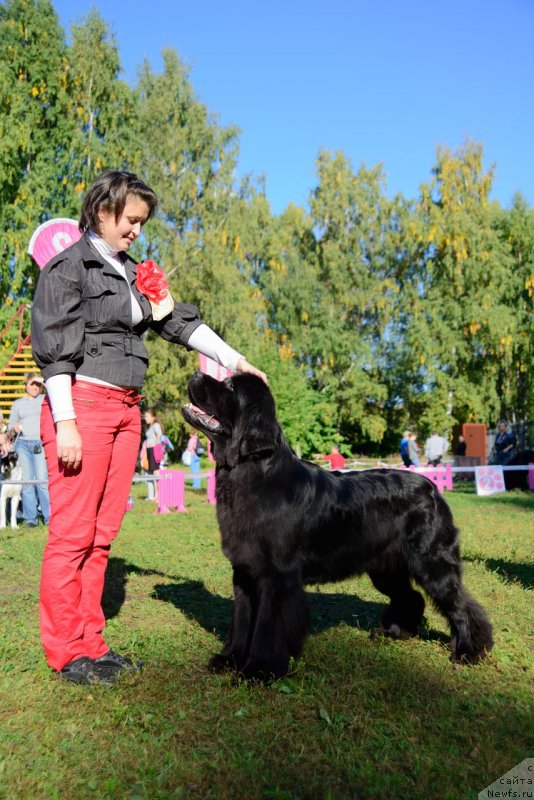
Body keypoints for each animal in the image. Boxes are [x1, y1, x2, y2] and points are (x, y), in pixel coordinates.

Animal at [182, 372, 496, 680]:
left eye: (229, 386)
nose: (195, 373)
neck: (254, 473)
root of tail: (431, 487)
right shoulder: (244, 571)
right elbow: (242, 621)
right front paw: (229, 659)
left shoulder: (276, 576)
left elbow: (267, 627)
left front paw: (260, 670)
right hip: (386, 568)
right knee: (412, 597)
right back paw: (394, 633)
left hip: (431, 561)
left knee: (461, 605)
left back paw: (469, 651)